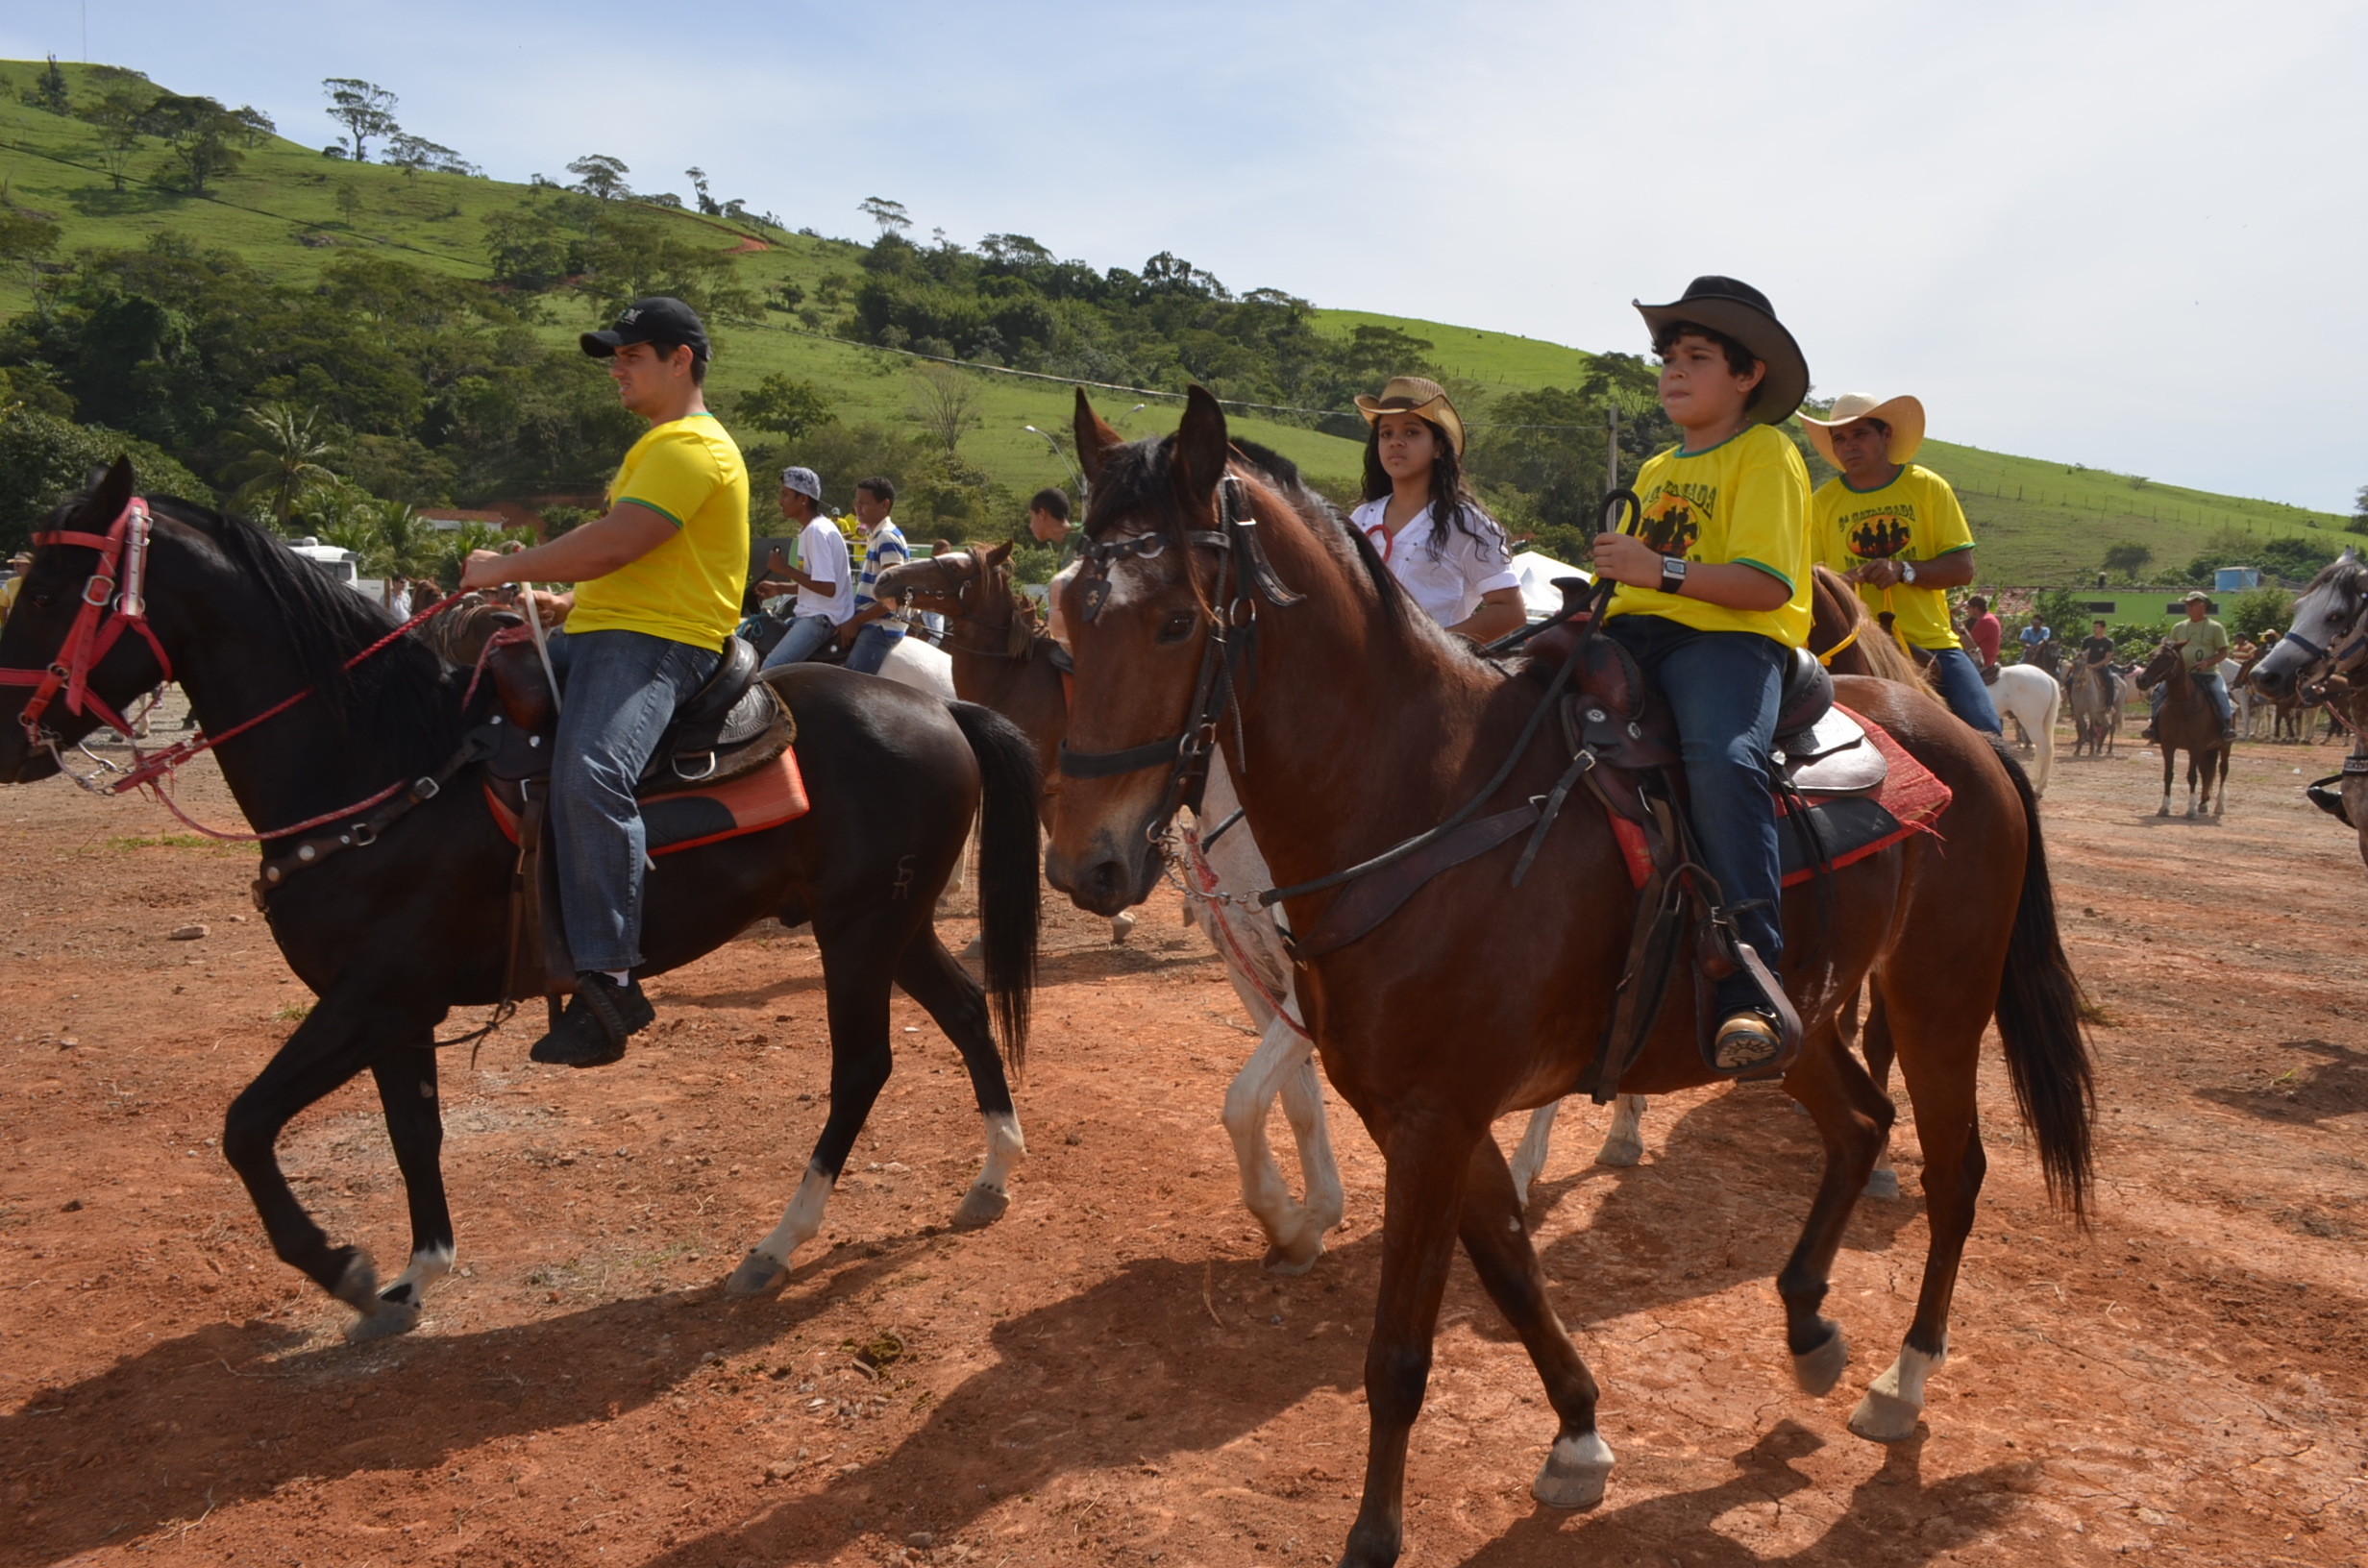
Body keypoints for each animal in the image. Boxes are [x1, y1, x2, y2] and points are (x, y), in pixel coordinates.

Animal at [0, 464, 1047, 1335]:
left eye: (49, 591)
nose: (10, 741)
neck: (388, 762)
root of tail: (940, 707)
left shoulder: (370, 995)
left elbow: (247, 1125)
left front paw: (342, 1267)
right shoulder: (397, 1009)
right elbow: (412, 1133)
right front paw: (415, 1275)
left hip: (860, 933)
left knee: (863, 1067)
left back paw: (777, 1244)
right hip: (890, 925)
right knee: (964, 1012)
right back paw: (991, 1180)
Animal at [1042, 390, 2093, 1568]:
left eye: (1176, 622)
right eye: (1065, 616)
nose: (1086, 864)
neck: (1428, 803)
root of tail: (1967, 740)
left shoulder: (1433, 1119)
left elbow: (1399, 1351)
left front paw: (1374, 1533)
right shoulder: (1422, 1111)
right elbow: (1511, 1267)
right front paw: (1580, 1437)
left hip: (1937, 1001)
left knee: (1953, 1172)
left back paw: (1900, 1382)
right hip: (1799, 1020)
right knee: (1862, 1123)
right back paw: (1809, 1326)